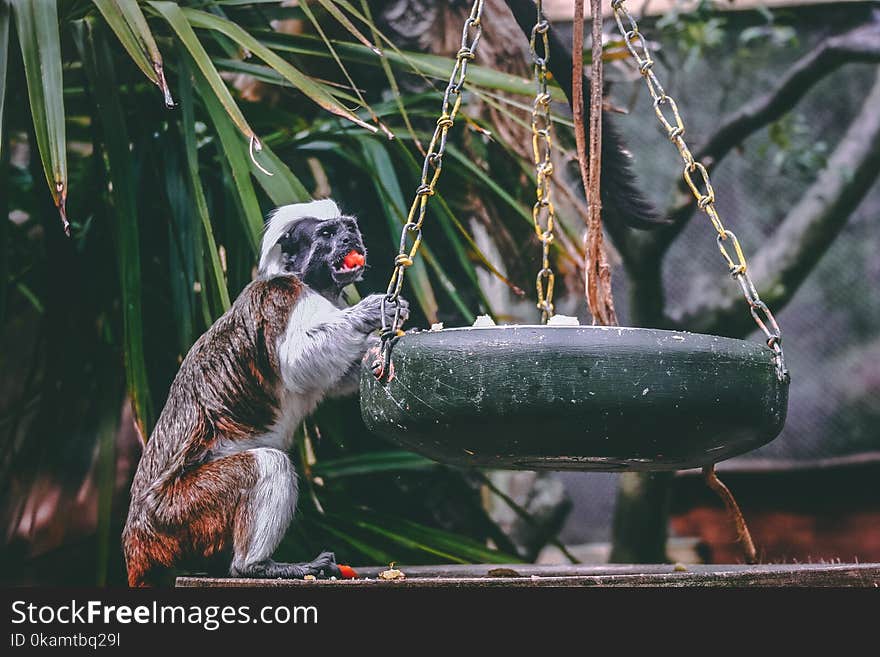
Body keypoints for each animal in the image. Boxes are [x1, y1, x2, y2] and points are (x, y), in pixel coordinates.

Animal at [122, 199, 408, 584]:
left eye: (349, 228)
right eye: (327, 233)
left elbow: (336, 377)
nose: (350, 239)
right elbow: (297, 361)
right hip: (176, 515)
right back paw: (257, 565)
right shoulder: (281, 298)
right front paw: (374, 310)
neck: (312, 285)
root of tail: (135, 541)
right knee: (266, 464)